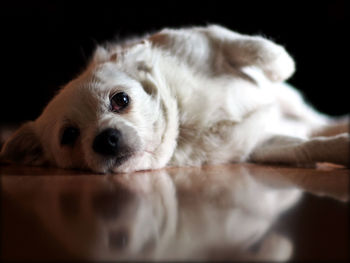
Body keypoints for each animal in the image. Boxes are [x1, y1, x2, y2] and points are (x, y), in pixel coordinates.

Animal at [1, 24, 348, 173]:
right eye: (69, 135)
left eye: (121, 100)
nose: (105, 139)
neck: (185, 123)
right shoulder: (261, 145)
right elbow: (307, 147)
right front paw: (339, 149)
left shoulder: (202, 38)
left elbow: (249, 45)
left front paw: (279, 66)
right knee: (319, 128)